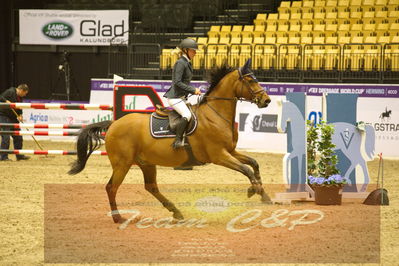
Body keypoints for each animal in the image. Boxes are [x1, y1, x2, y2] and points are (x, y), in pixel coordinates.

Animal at [70, 59, 274, 223]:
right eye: (250, 80)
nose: (267, 100)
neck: (215, 115)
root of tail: (114, 124)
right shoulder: (219, 155)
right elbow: (246, 169)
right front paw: (254, 190)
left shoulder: (231, 152)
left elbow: (254, 164)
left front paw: (264, 195)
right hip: (123, 163)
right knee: (111, 187)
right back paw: (118, 217)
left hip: (145, 163)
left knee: (151, 187)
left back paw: (176, 212)